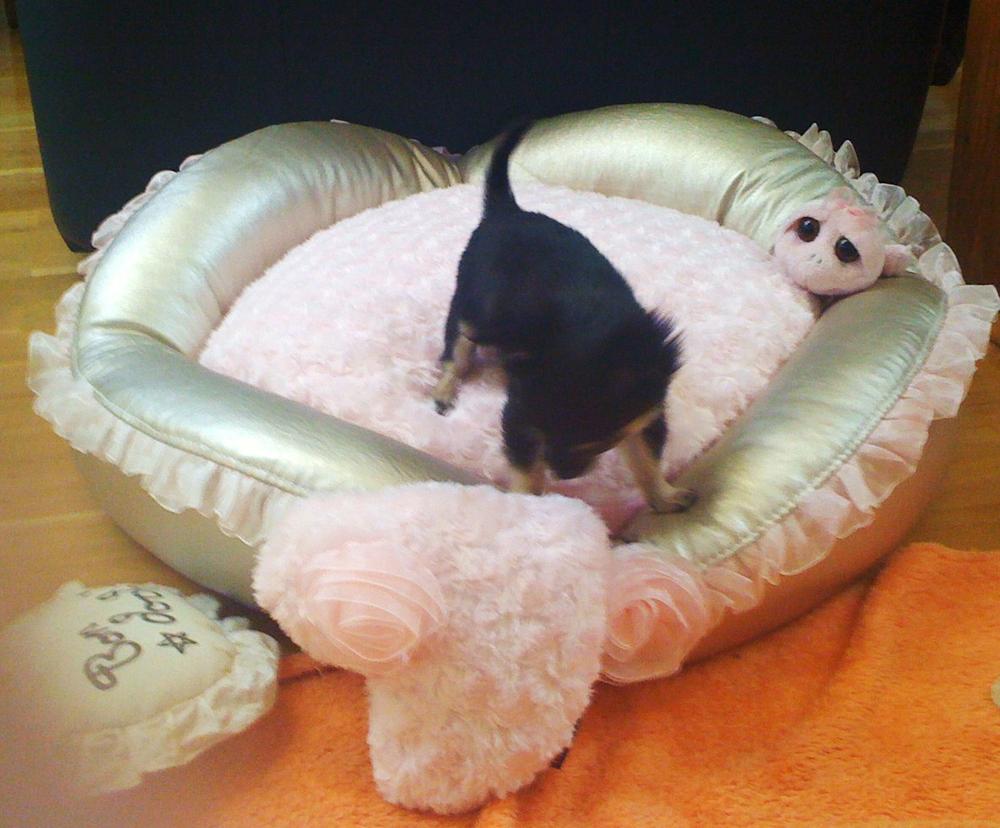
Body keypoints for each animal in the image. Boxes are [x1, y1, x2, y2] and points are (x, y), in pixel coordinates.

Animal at [432, 122, 694, 513]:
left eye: (604, 441)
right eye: (543, 436)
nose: (564, 475)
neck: (589, 324)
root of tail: (507, 210)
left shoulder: (645, 415)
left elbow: (646, 461)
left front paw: (664, 498)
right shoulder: (519, 415)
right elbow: (524, 467)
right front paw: (527, 507)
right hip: (474, 312)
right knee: (457, 349)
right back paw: (445, 390)